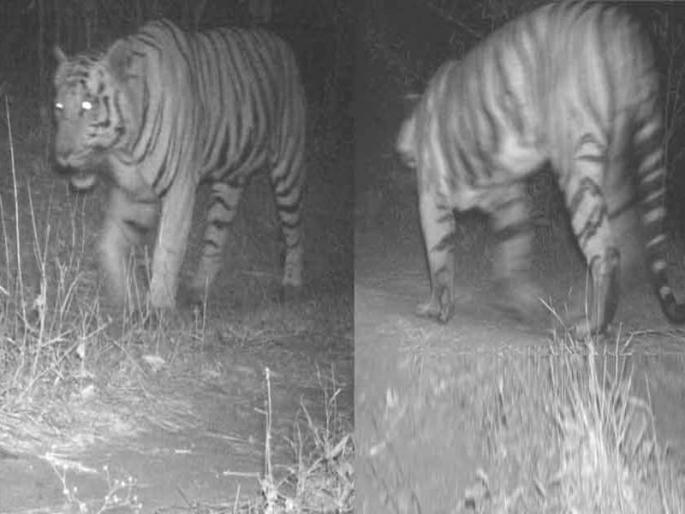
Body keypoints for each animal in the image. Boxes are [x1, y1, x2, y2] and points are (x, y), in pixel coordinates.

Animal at [53, 19, 306, 311]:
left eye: (87, 104)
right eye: (58, 107)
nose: (61, 155)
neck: (125, 149)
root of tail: (284, 45)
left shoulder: (179, 189)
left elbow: (168, 248)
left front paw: (157, 308)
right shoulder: (136, 192)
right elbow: (110, 242)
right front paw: (124, 294)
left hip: (287, 169)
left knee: (295, 231)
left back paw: (291, 284)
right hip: (229, 183)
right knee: (216, 237)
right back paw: (199, 288)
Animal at [396, 0, 685, 336]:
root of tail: (621, 22)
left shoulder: (432, 198)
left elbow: (438, 258)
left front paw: (435, 309)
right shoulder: (507, 196)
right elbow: (513, 252)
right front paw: (522, 303)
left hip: (577, 162)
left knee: (606, 249)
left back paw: (591, 326)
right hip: (616, 160)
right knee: (629, 241)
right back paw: (581, 311)